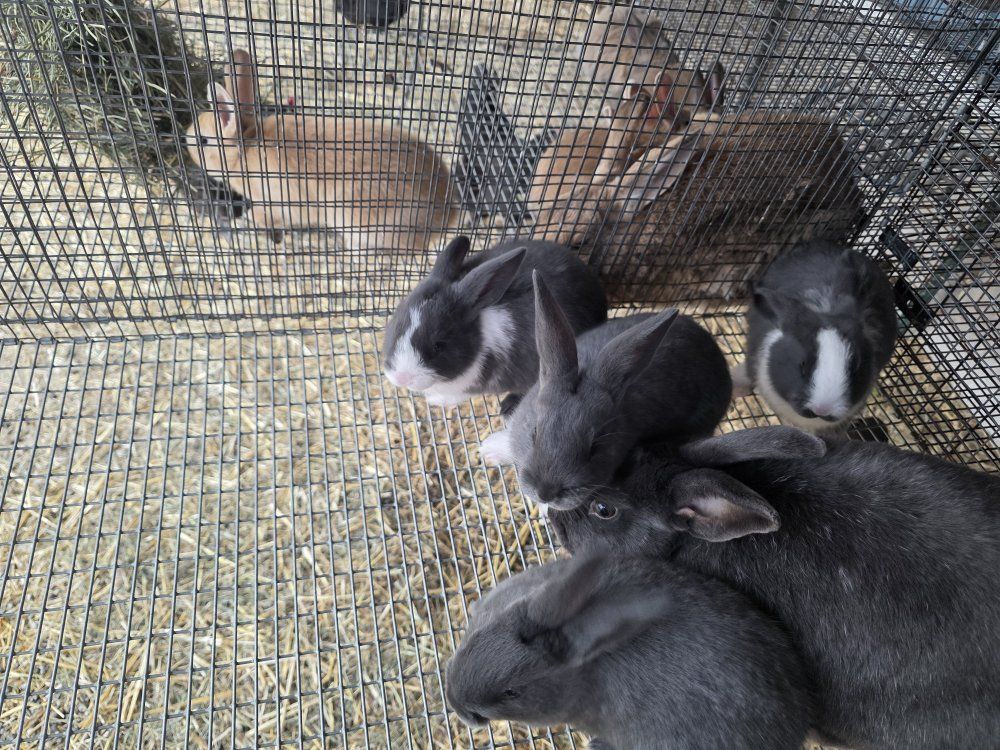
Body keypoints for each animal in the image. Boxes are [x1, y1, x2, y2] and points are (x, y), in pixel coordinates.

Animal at [382, 236, 607, 407]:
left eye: (439, 346)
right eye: (395, 326)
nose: (402, 378)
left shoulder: (478, 384)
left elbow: (460, 394)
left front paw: (436, 400)